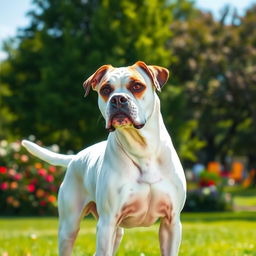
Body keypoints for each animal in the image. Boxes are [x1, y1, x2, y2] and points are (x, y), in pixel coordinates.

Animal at [22, 61, 186, 255]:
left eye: (137, 86)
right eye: (106, 89)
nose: (118, 99)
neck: (142, 150)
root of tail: (76, 157)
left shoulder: (171, 222)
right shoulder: (107, 222)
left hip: (117, 232)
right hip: (69, 226)